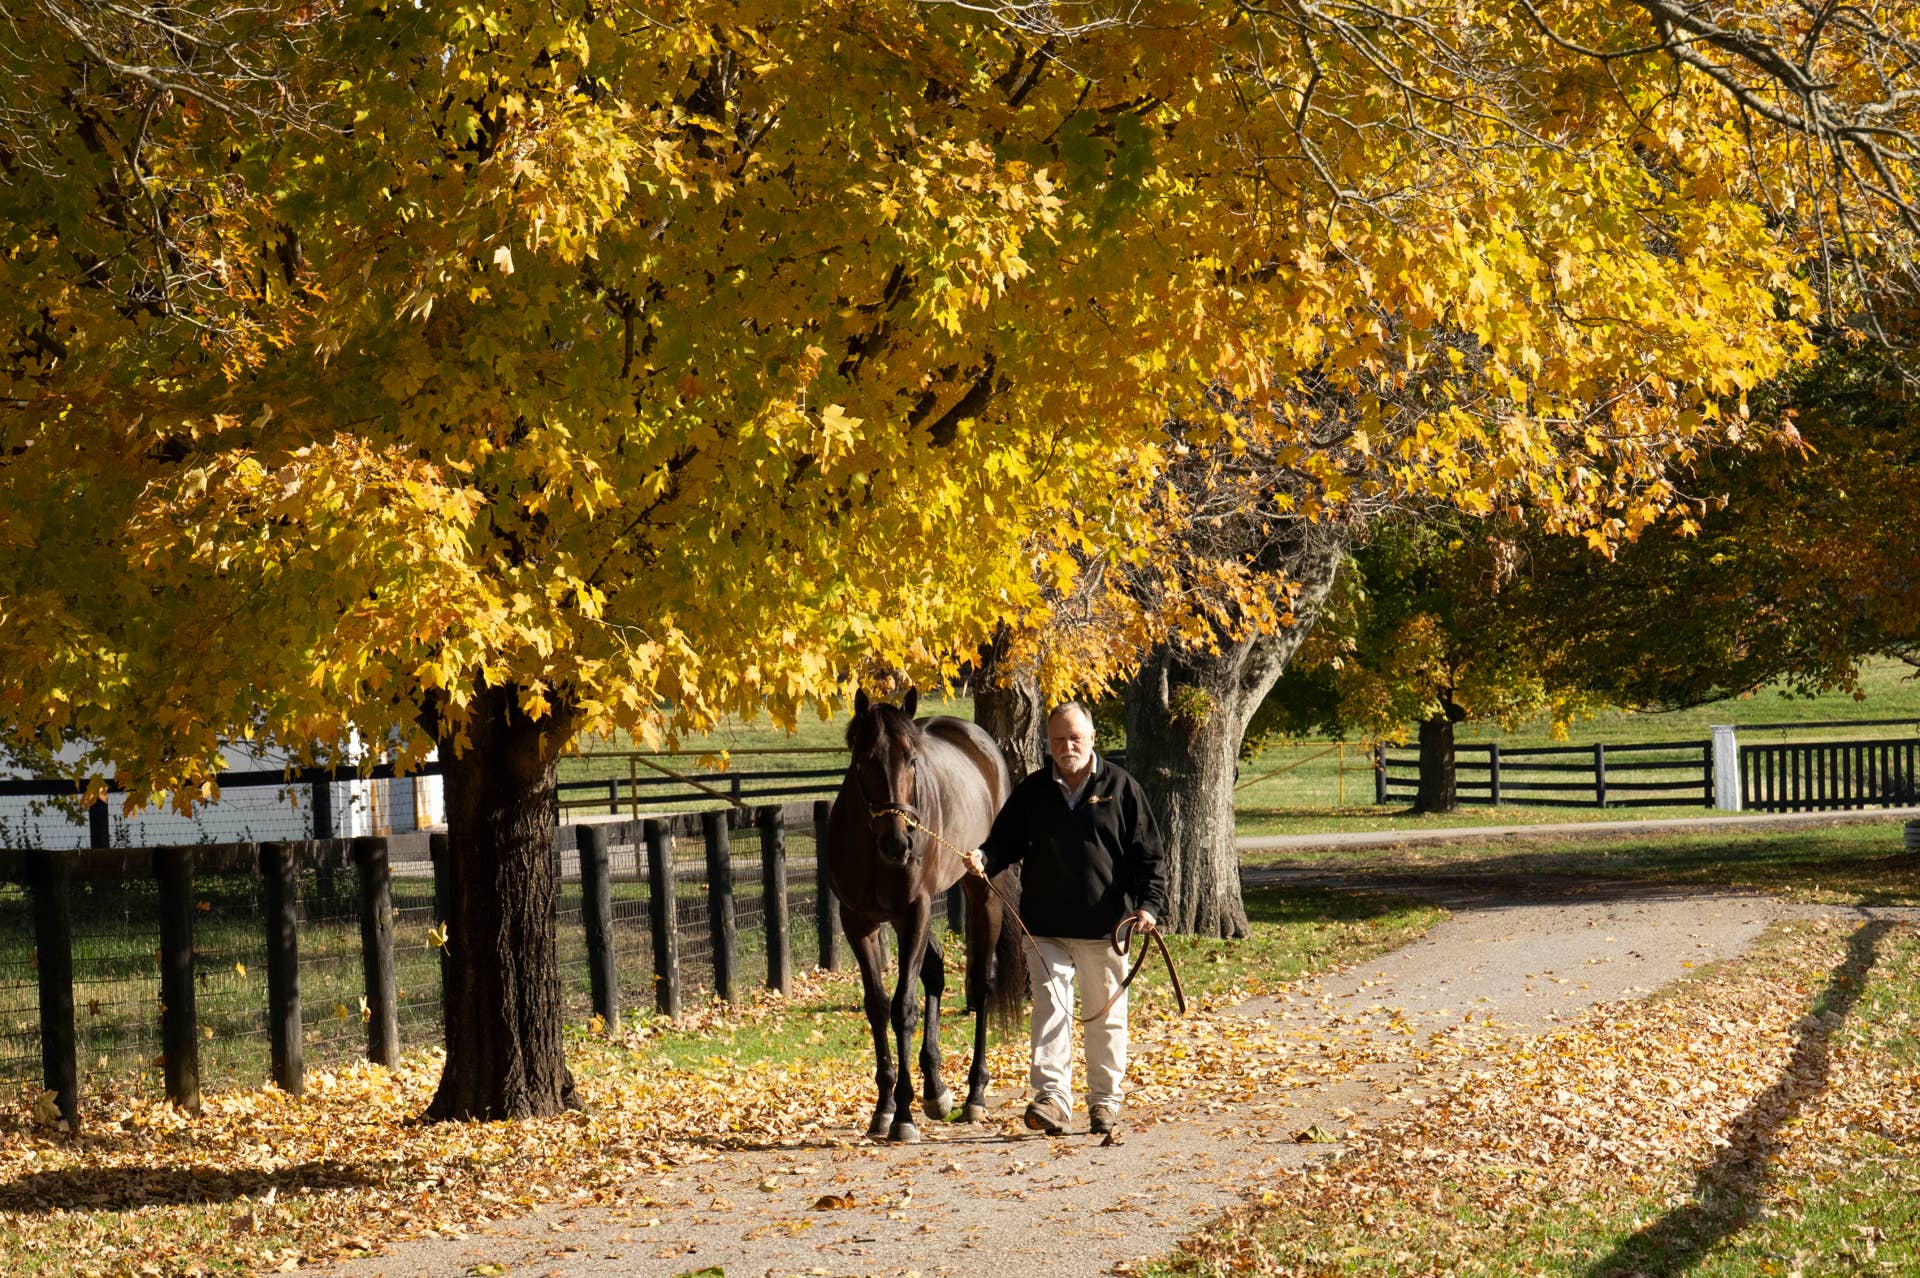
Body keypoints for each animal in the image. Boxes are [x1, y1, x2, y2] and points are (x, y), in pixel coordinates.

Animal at [827, 688, 1026, 1142]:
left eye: (912, 760)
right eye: (865, 758)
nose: (898, 842)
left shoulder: (915, 911)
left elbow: (903, 1008)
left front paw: (903, 1114)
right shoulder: (858, 922)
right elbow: (877, 1006)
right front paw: (883, 1108)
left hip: (980, 892)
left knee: (981, 984)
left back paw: (974, 1094)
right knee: (935, 969)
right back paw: (936, 1091)